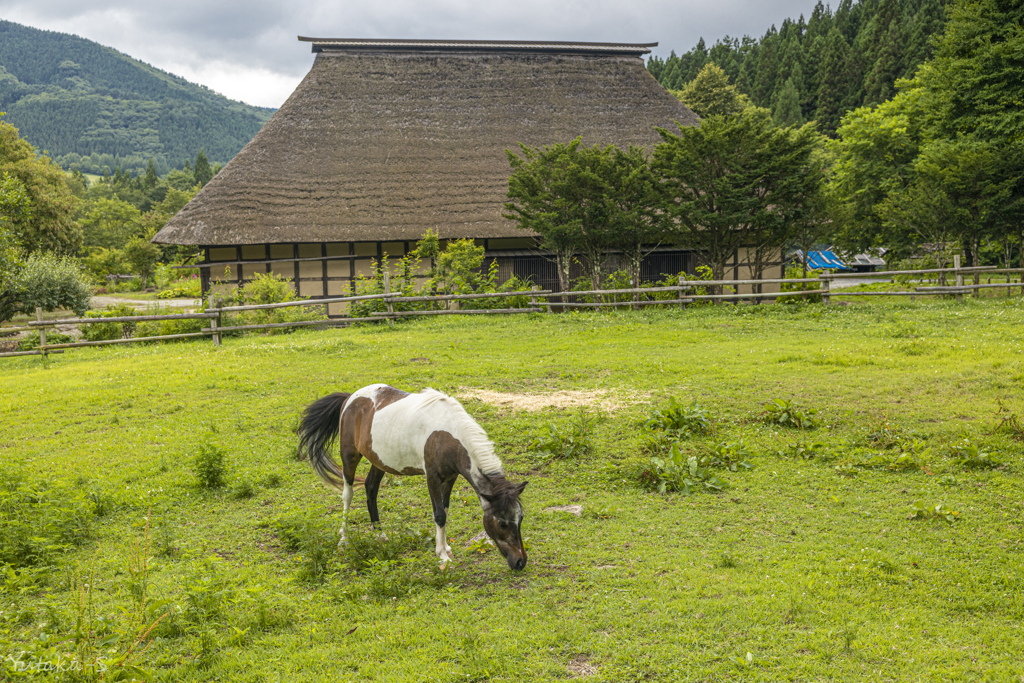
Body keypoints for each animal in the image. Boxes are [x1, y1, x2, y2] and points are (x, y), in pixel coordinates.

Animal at [296, 385, 528, 573]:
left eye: (520, 518)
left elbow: (445, 510)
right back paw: (344, 539)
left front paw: (446, 548)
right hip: (349, 456)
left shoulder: (450, 477)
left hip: (379, 461)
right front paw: (442, 556)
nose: (520, 562)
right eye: (502, 523)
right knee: (348, 494)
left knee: (371, 488)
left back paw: (379, 533)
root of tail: (350, 398)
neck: (449, 434)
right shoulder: (432, 477)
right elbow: (439, 515)